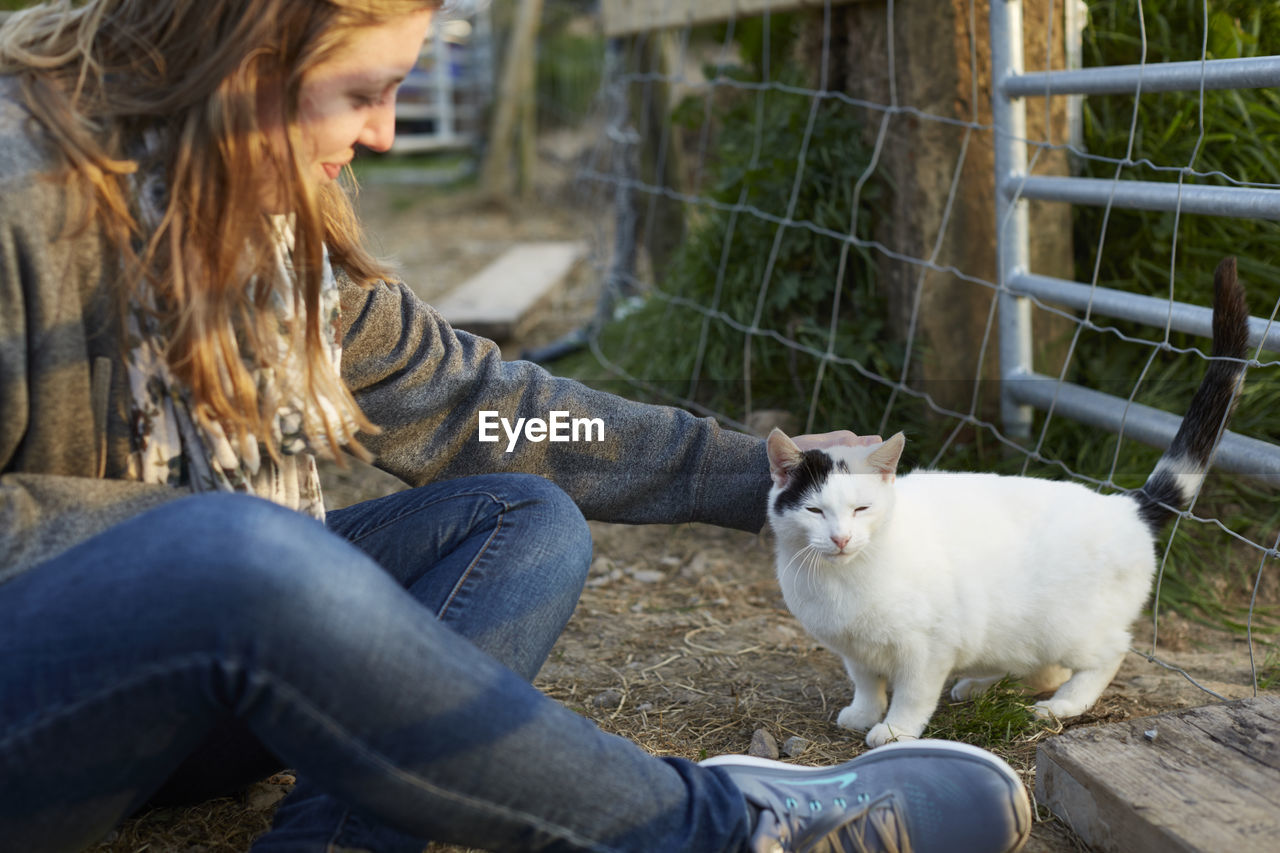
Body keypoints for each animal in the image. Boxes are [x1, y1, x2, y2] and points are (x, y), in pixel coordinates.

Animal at [768, 258, 1249, 742]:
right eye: (815, 510)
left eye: (861, 509)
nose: (841, 538)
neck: (842, 579)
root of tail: (1126, 507)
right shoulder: (855, 650)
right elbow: (867, 682)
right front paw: (865, 712)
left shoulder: (928, 649)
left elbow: (912, 694)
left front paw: (895, 730)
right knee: (1043, 667)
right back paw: (983, 684)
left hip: (1068, 627)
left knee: (1108, 654)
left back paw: (1063, 704)